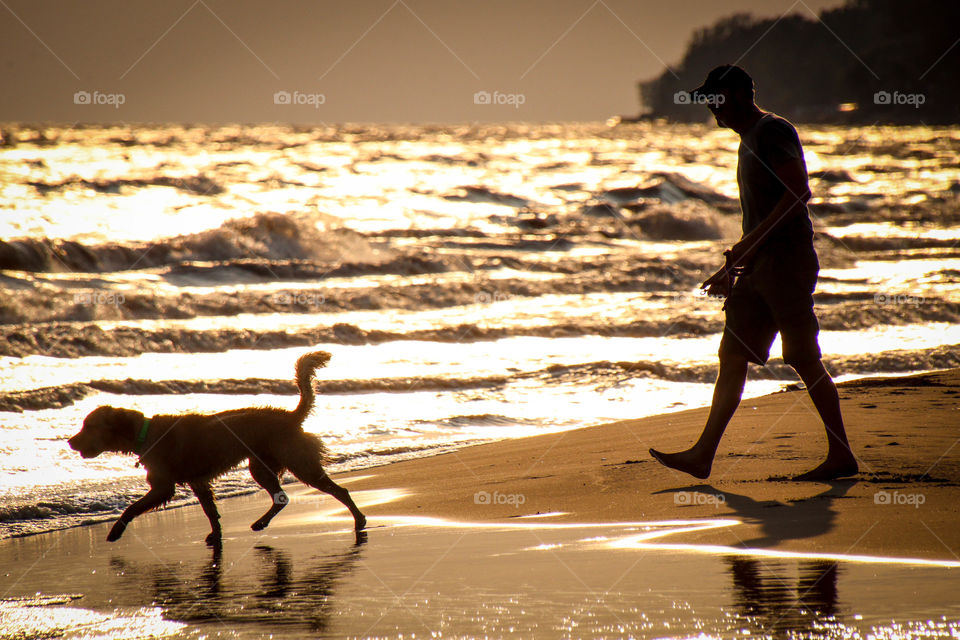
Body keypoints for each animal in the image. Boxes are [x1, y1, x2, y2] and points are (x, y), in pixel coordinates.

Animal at [67, 350, 366, 544]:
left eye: (88, 426)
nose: (70, 441)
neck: (145, 433)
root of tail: (291, 416)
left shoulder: (163, 486)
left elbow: (131, 508)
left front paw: (115, 532)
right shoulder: (198, 482)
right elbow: (210, 511)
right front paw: (216, 534)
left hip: (298, 462)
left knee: (338, 491)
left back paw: (359, 520)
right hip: (261, 466)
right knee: (281, 497)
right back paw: (261, 522)